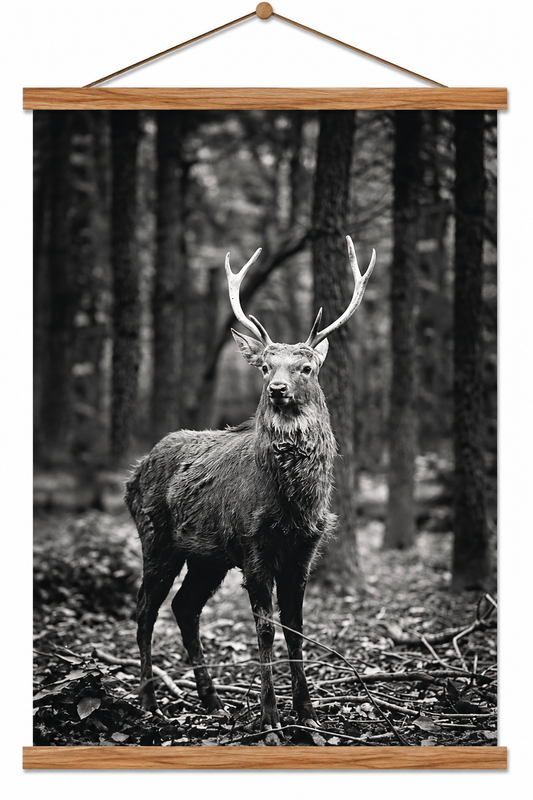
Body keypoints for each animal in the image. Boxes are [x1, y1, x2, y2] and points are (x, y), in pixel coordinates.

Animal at [125, 235, 375, 741]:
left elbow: (295, 626)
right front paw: (271, 721)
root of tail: (133, 475)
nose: (278, 388)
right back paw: (150, 703)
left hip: (207, 556)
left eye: (305, 367)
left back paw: (213, 702)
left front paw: (309, 717)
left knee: (184, 606)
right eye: (264, 366)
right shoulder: (254, 545)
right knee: (145, 612)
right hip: (157, 538)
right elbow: (264, 629)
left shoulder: (304, 550)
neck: (294, 504)